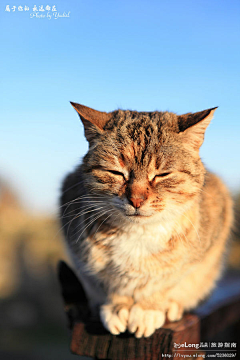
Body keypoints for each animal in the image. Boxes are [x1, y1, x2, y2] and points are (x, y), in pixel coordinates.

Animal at [59, 102, 232, 338]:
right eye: (116, 172)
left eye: (162, 174)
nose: (136, 200)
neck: (138, 234)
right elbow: (109, 282)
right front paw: (117, 306)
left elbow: (167, 281)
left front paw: (148, 309)